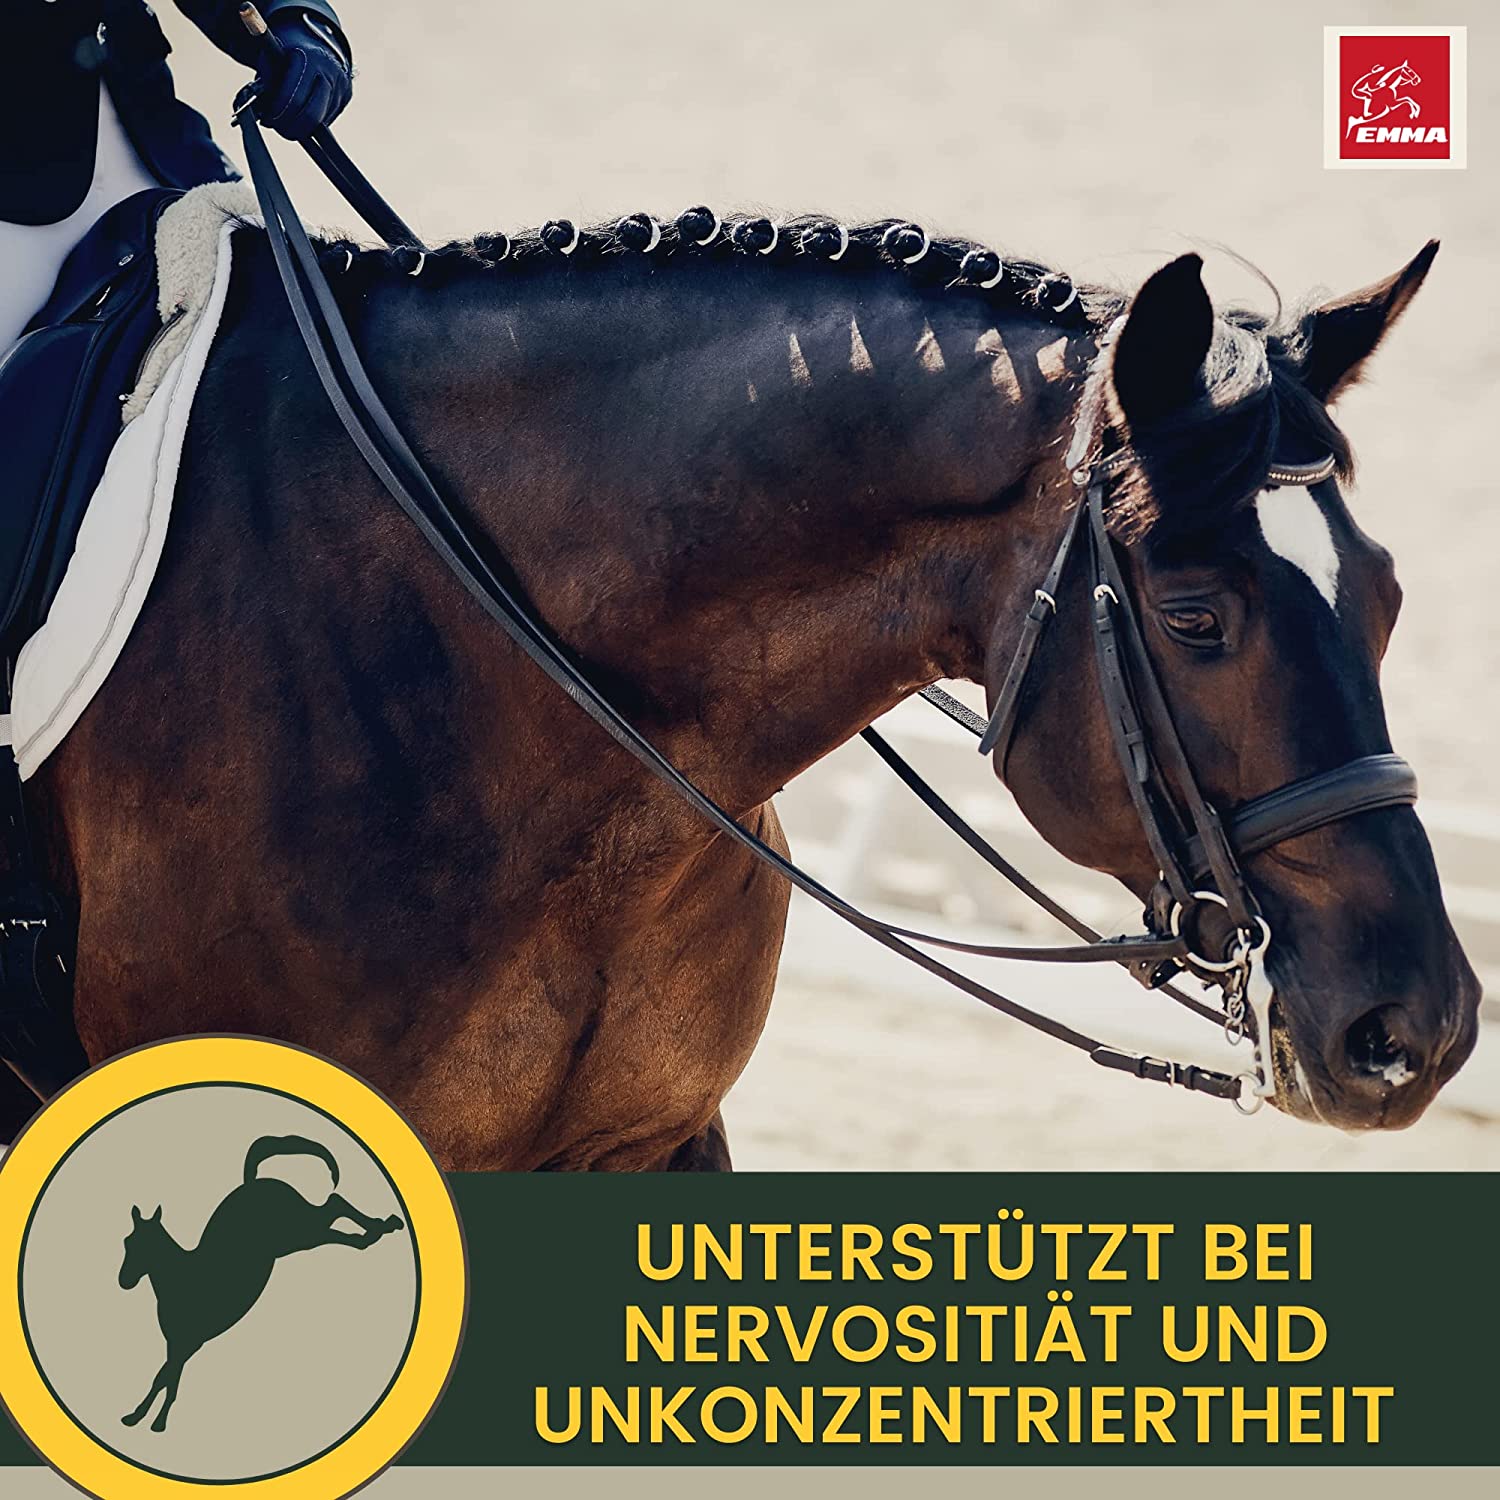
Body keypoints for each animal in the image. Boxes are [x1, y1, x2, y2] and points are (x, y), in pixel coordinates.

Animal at [117, 1134, 405, 1432]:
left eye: (145, 1246)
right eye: (127, 1242)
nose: (124, 1281)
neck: (179, 1280)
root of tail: (253, 1182)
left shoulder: (187, 1342)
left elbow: (168, 1379)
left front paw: (156, 1422)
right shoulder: (181, 1343)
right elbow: (163, 1377)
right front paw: (135, 1417)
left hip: (300, 1232)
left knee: (335, 1203)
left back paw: (383, 1225)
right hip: (299, 1238)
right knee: (340, 1228)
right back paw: (374, 1232)